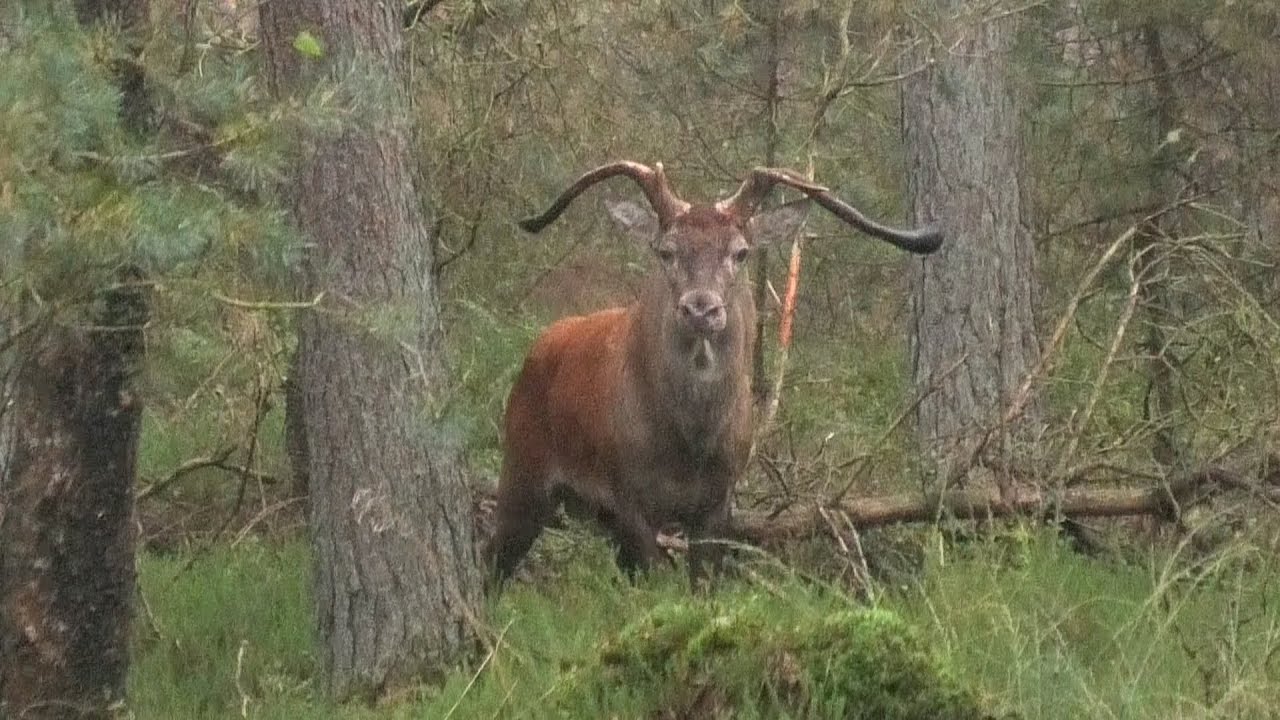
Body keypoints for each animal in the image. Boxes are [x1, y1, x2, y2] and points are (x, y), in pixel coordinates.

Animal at [485, 161, 942, 588]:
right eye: (665, 250)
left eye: (740, 252)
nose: (700, 308)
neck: (688, 448)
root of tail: (537, 349)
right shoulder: (627, 495)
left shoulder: (718, 501)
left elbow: (702, 586)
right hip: (522, 473)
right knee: (492, 564)